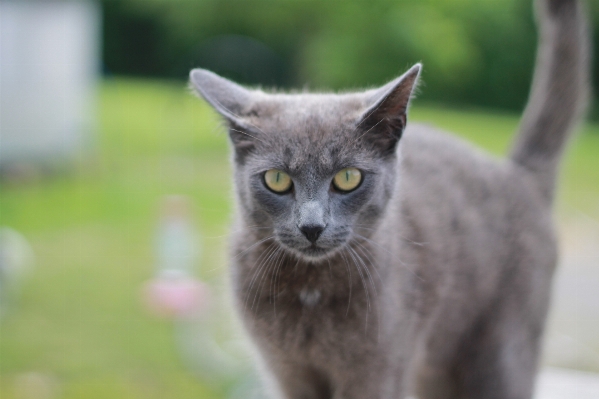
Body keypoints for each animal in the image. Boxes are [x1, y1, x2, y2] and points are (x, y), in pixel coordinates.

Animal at [189, 0, 592, 398]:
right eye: (277, 180)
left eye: (348, 178)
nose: (312, 226)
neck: (309, 289)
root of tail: (518, 173)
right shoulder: (287, 371)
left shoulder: (379, 367)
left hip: (502, 352)